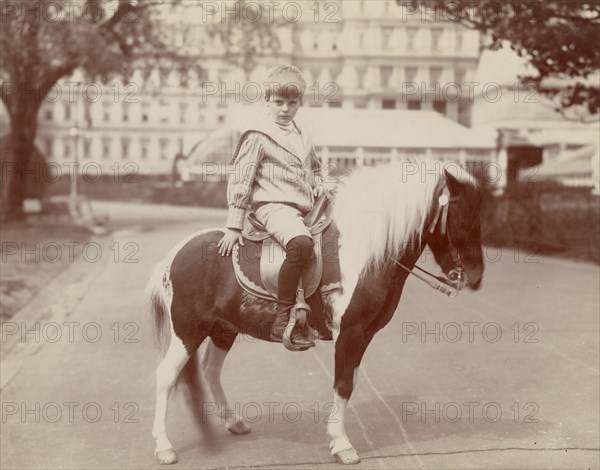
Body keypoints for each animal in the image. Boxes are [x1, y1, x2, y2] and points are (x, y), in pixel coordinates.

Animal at [148, 160, 486, 464]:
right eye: (461, 216)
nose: (475, 276)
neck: (365, 253)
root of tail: (174, 254)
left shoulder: (363, 336)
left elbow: (348, 383)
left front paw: (338, 438)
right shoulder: (349, 333)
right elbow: (343, 384)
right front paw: (343, 445)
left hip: (223, 329)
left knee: (210, 370)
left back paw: (234, 422)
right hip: (188, 331)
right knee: (165, 376)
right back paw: (164, 447)